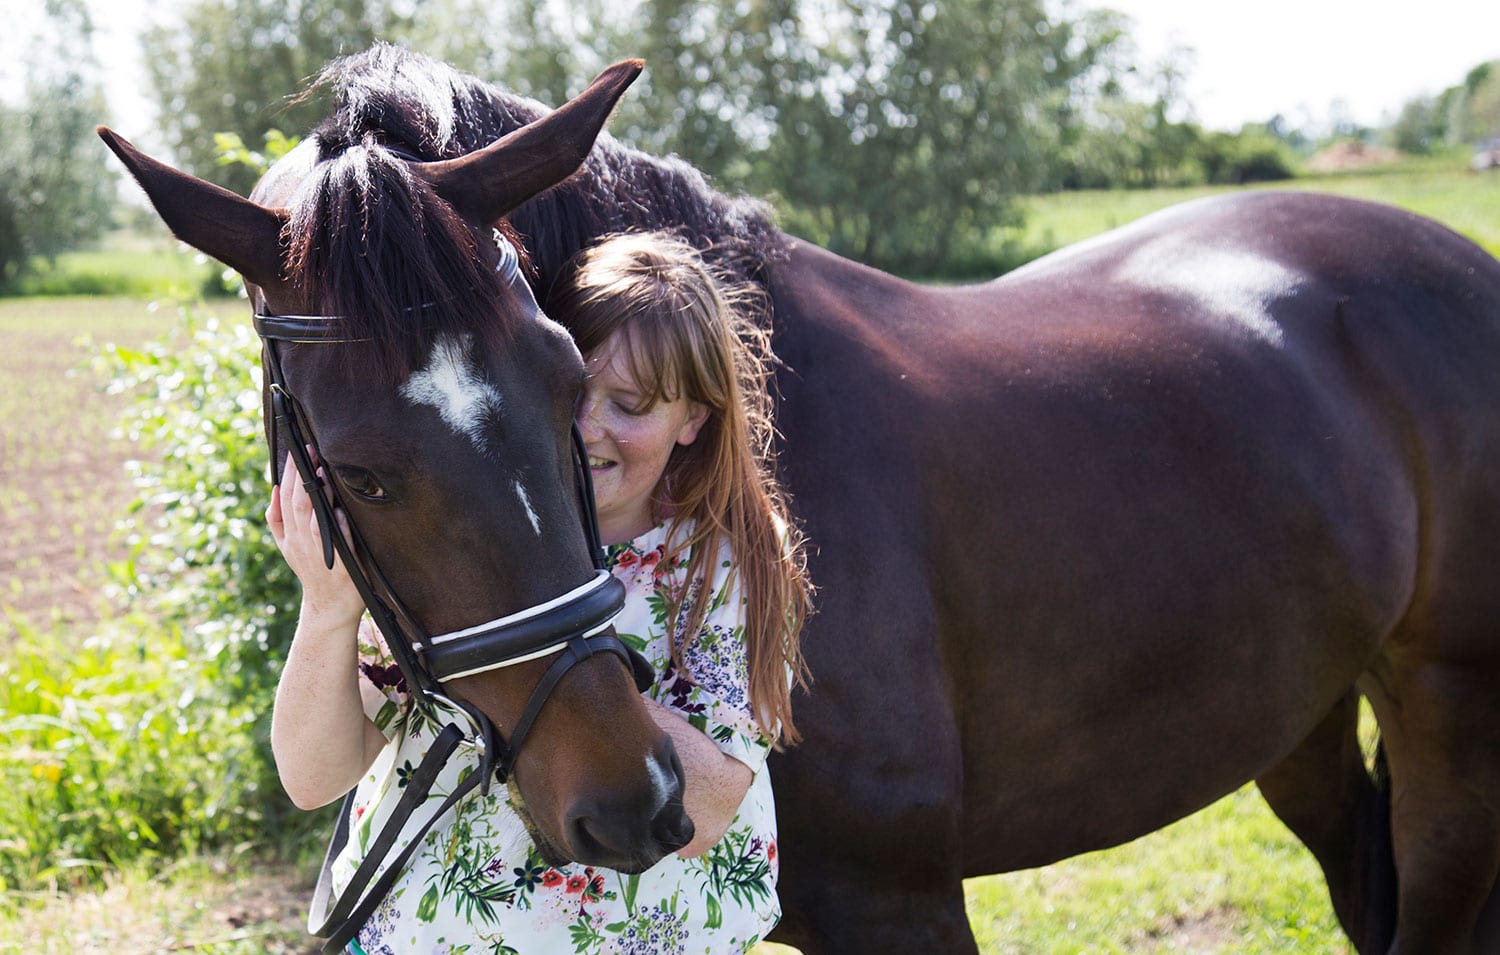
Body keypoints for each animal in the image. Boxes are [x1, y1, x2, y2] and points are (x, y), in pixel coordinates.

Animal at [111, 46, 1494, 953]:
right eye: (357, 470)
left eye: (568, 382)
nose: (631, 796)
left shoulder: (900, 902)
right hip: (1298, 710)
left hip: (1449, 722)